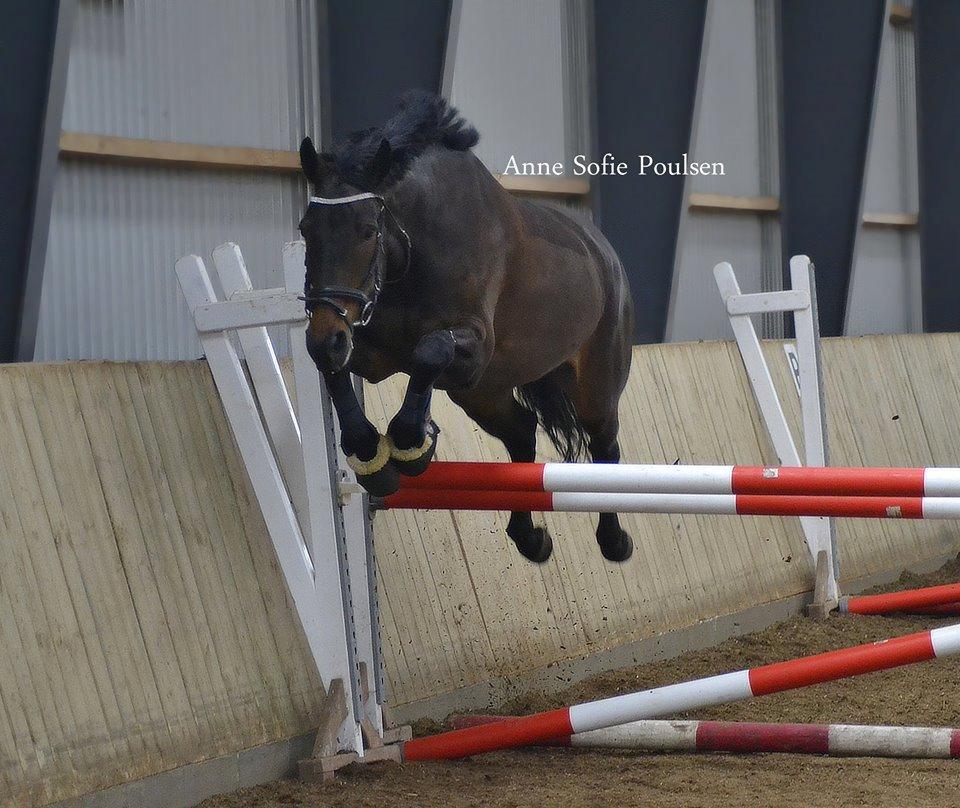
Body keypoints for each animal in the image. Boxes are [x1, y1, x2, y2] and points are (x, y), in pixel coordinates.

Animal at [296, 91, 632, 560]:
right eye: (305, 229)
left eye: (367, 231)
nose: (326, 336)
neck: (413, 250)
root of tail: (604, 254)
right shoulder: (369, 350)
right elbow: (338, 369)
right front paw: (371, 454)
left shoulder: (472, 347)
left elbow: (429, 352)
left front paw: (411, 444)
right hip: (483, 393)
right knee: (521, 432)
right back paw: (531, 538)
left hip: (592, 385)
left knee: (604, 445)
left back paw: (614, 540)